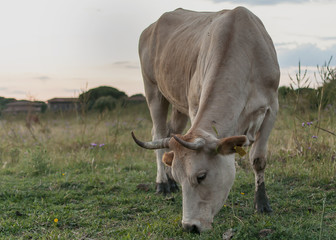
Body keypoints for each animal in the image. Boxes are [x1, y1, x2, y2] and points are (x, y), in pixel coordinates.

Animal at [133, 6, 280, 233]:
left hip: (177, 103)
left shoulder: (272, 107)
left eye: (201, 176)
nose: (189, 226)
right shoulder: (195, 104)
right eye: (181, 177)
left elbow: (258, 160)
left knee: (170, 131)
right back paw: (163, 183)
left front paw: (262, 204)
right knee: (157, 133)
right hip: (153, 89)